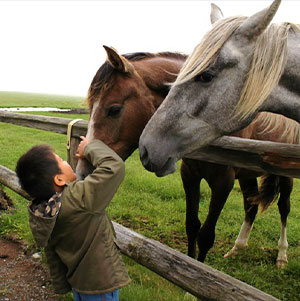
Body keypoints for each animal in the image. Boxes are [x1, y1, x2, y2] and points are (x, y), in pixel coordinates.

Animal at [76, 45, 296, 266]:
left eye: (114, 109)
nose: (84, 172)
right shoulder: (189, 175)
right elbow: (192, 225)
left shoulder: (223, 183)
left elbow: (206, 235)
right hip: (247, 174)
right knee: (250, 206)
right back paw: (237, 248)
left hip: (285, 176)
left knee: (284, 208)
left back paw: (282, 256)